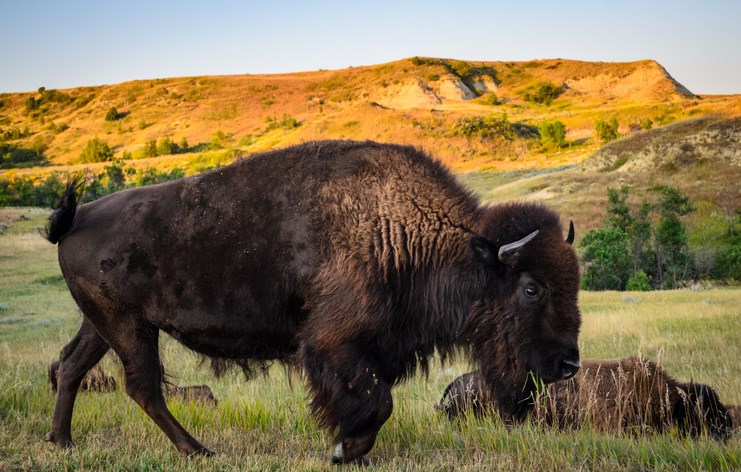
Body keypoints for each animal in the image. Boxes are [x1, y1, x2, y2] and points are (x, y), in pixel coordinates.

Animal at [43, 138, 580, 462]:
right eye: (531, 288)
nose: (569, 364)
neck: (403, 234)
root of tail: (76, 218)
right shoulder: (331, 343)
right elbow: (376, 401)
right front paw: (345, 450)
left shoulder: (372, 349)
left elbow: (374, 397)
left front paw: (351, 449)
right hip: (128, 326)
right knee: (143, 387)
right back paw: (198, 450)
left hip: (104, 324)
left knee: (71, 366)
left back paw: (63, 442)